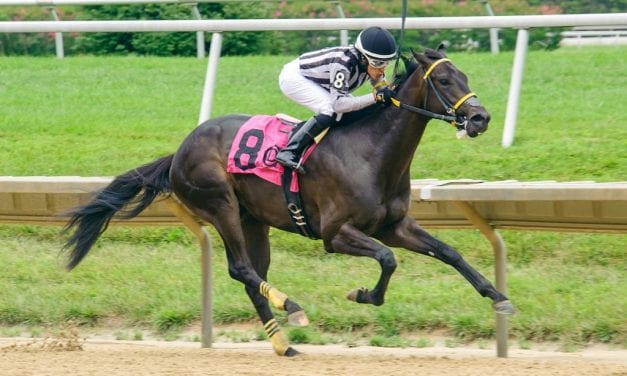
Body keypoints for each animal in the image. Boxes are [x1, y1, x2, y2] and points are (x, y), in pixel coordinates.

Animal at [62, 46, 516, 356]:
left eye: (464, 75)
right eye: (445, 81)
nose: (480, 118)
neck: (371, 153)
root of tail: (179, 151)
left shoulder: (394, 226)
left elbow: (449, 252)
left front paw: (498, 296)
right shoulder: (336, 234)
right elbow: (388, 260)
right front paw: (363, 295)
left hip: (253, 219)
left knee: (252, 277)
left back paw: (283, 344)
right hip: (220, 206)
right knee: (241, 268)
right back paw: (293, 308)